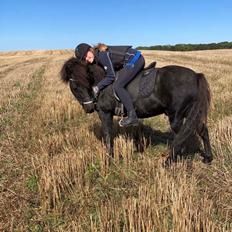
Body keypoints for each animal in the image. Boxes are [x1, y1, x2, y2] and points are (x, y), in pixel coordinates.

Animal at [60, 57, 213, 164]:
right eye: (74, 87)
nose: (89, 108)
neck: (104, 83)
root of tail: (196, 76)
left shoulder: (105, 113)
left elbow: (108, 135)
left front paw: (109, 159)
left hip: (176, 116)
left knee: (181, 137)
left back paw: (170, 161)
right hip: (191, 113)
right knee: (202, 131)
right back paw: (208, 158)